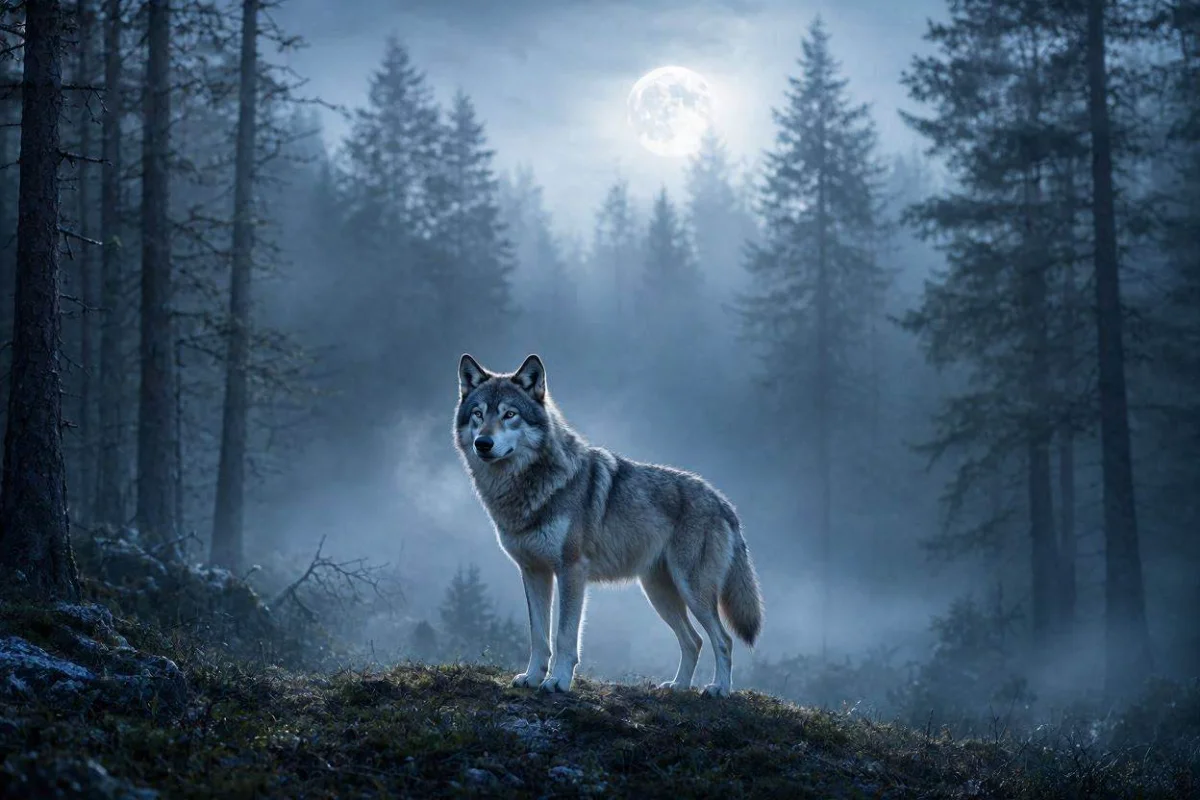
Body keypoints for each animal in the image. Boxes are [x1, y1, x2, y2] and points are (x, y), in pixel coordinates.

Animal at [453, 353, 764, 696]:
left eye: (510, 414)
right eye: (478, 414)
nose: (483, 443)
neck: (529, 487)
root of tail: (724, 502)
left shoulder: (571, 569)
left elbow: (564, 636)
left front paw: (558, 681)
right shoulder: (533, 571)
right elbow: (538, 636)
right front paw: (533, 677)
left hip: (692, 590)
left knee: (723, 640)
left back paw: (719, 688)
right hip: (659, 592)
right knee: (693, 640)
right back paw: (678, 686)